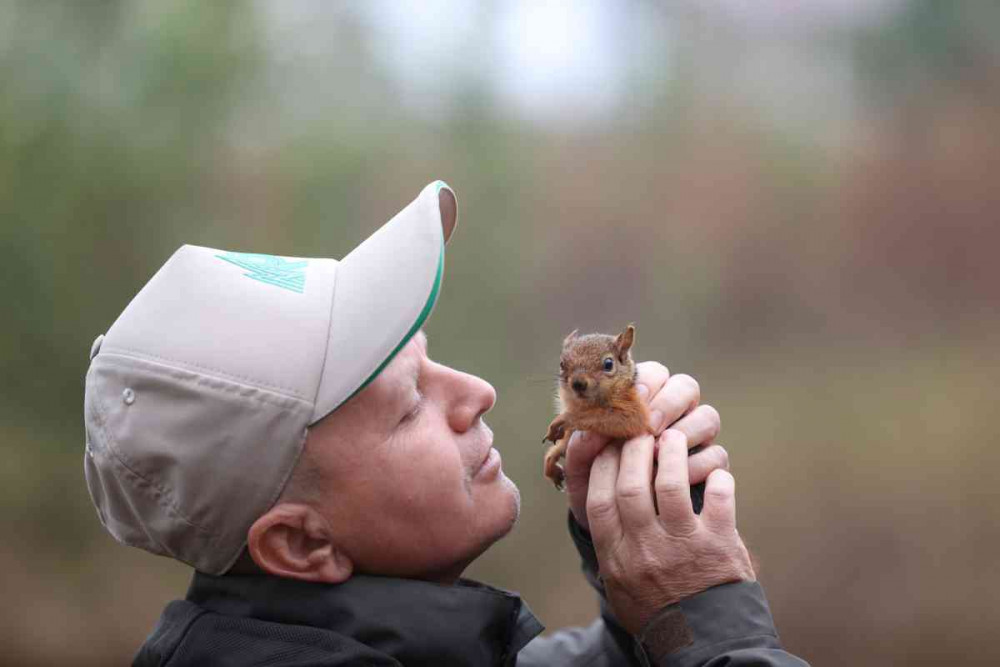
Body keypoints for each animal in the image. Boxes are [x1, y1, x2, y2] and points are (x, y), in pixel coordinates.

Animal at [544, 324, 652, 490]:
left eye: (608, 364)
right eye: (562, 364)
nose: (578, 383)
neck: (588, 403)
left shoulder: (634, 409)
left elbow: (627, 419)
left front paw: (566, 419)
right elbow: (563, 445)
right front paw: (551, 461)